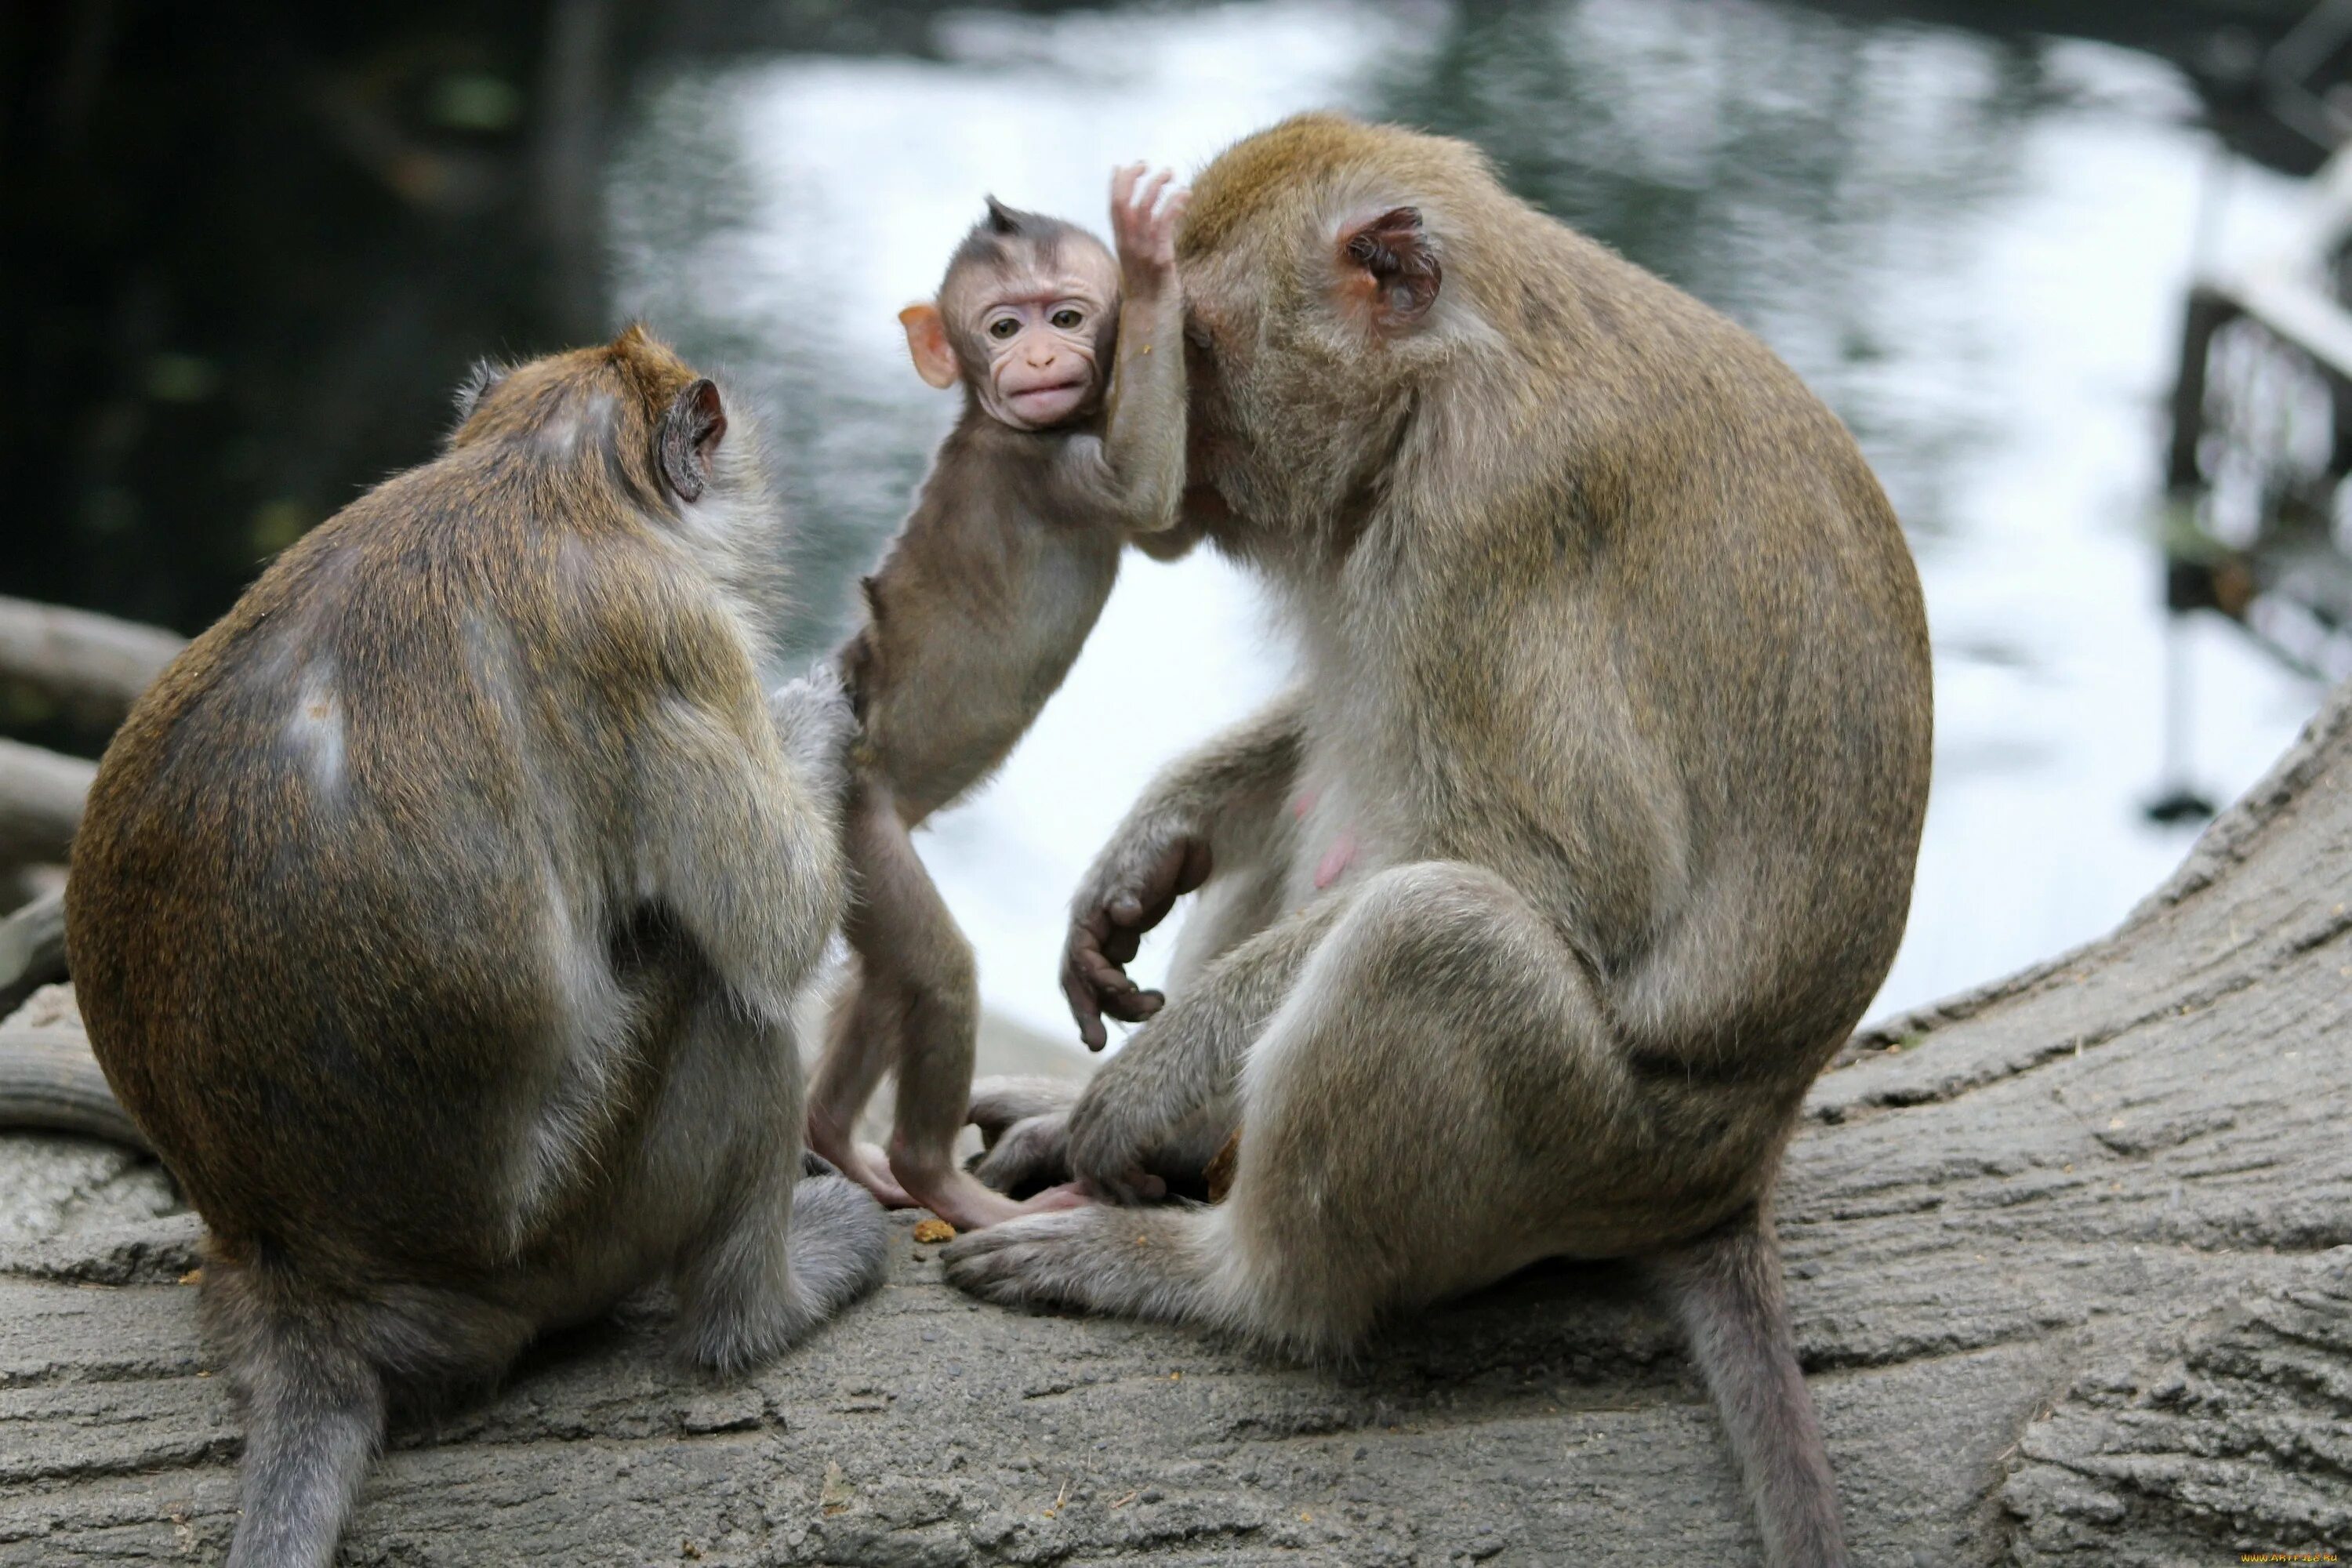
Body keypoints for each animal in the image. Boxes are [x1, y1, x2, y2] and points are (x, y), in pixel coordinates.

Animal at [814, 169, 1195, 1222]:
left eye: (1065, 314)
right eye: (1000, 326)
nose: (1038, 354)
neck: (1007, 422)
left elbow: (1164, 530)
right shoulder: (1051, 474)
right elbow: (1144, 491)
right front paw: (1151, 260)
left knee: (883, 979)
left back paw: (839, 1144)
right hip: (859, 824)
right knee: (936, 976)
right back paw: (942, 1180)